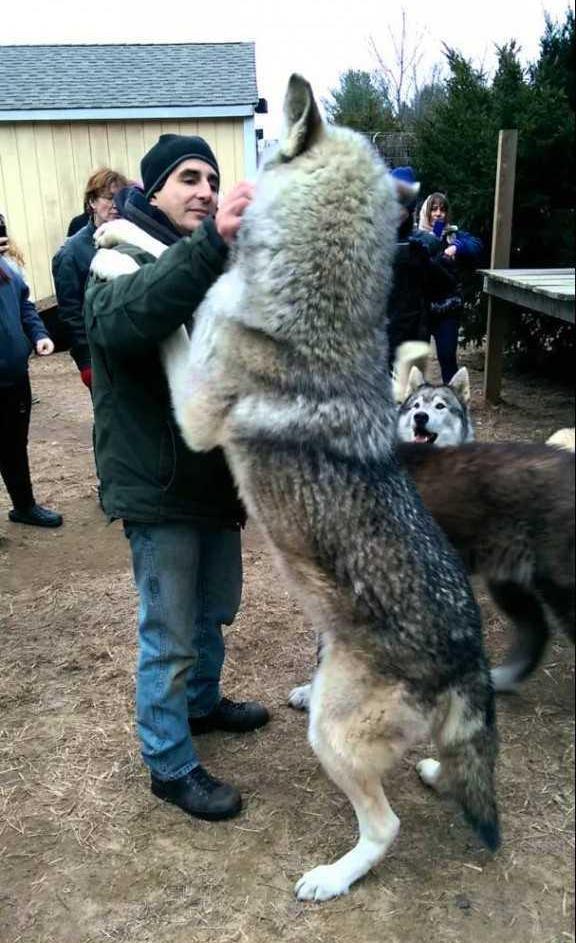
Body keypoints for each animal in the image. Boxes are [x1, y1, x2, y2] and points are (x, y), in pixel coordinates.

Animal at [92, 74, 500, 902]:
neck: (312, 299)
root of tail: (468, 659)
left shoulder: (195, 410)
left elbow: (178, 317)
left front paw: (115, 259)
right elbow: (175, 270)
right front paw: (120, 238)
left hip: (331, 736)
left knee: (385, 826)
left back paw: (332, 877)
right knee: (429, 763)